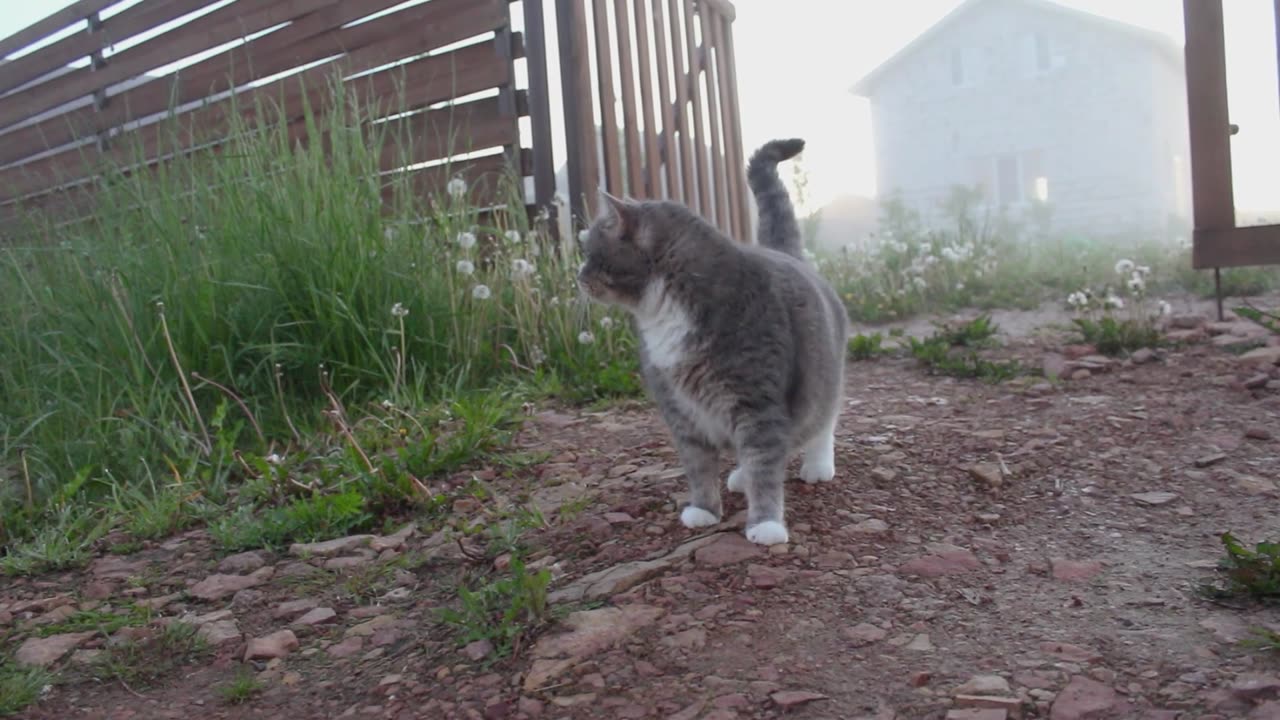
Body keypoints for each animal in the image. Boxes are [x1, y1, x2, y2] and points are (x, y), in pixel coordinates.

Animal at [581, 139, 849, 543]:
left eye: (591, 253)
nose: (577, 276)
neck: (664, 310)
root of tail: (786, 253)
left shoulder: (757, 404)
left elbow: (765, 467)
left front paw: (766, 524)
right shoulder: (680, 410)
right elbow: (698, 465)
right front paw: (704, 510)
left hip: (824, 379)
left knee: (821, 421)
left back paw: (817, 465)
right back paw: (739, 476)